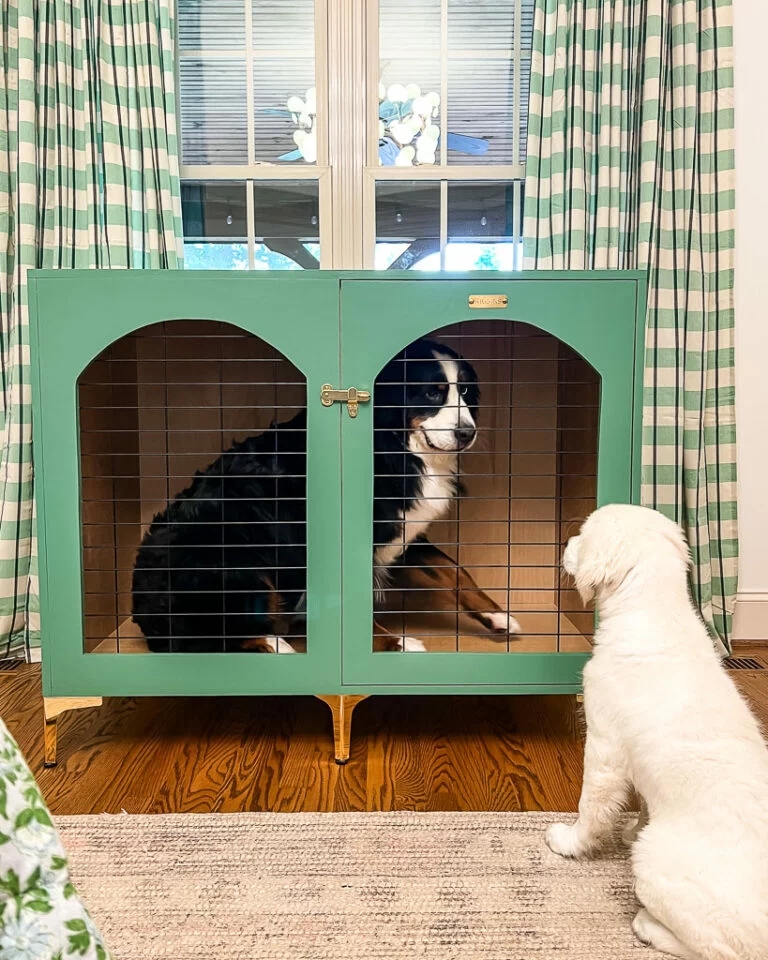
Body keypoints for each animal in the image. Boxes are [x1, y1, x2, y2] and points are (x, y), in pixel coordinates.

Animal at [132, 338, 520, 652]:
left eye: (465, 393)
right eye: (432, 393)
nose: (466, 433)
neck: (396, 448)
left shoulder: (404, 528)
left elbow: (455, 570)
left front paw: (498, 616)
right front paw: (394, 643)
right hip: (235, 562)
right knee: (228, 638)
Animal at [544, 506, 768, 956]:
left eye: (583, 533)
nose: (565, 542)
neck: (652, 611)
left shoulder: (604, 746)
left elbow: (590, 806)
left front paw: (569, 842)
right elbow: (646, 801)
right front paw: (633, 826)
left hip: (657, 865)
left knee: (715, 950)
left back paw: (646, 925)